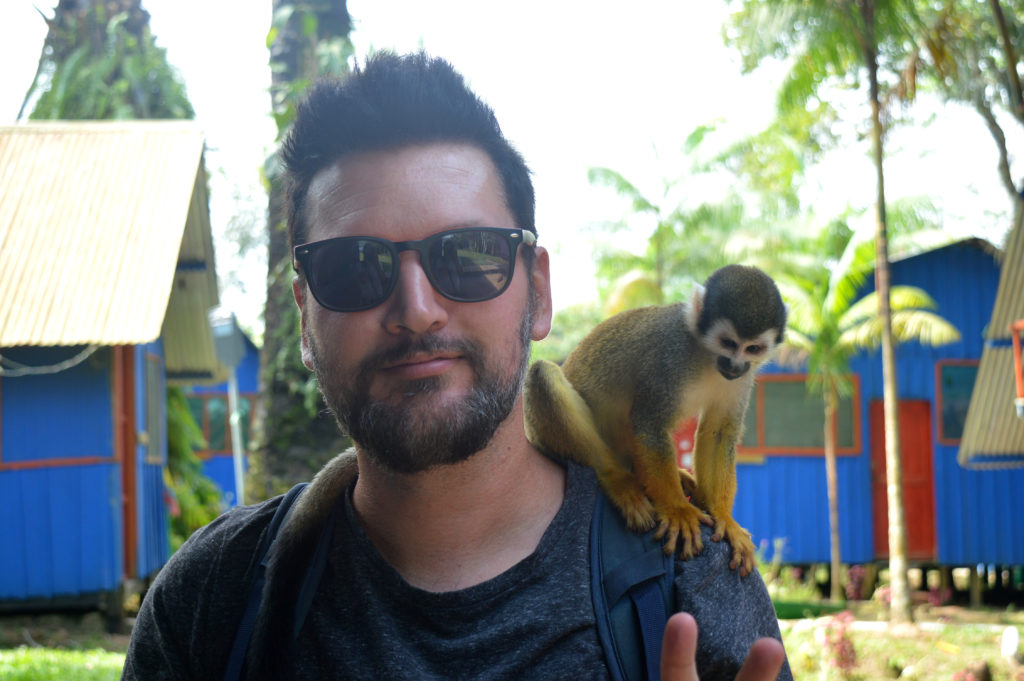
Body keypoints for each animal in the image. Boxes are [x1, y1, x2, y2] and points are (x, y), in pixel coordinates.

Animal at [524, 264, 786, 573]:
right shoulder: (668, 358)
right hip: (543, 435)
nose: (734, 365)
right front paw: (678, 510)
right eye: (728, 343)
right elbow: (650, 425)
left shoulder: (744, 377)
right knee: (543, 373)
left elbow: (720, 432)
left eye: (752, 348)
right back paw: (618, 480)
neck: (705, 355)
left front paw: (724, 516)